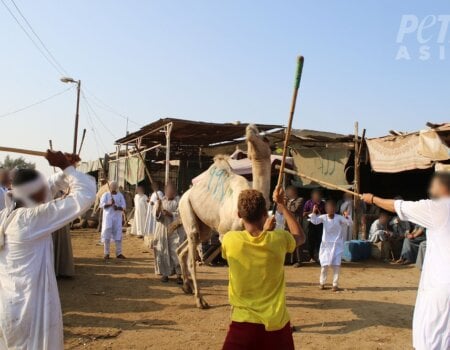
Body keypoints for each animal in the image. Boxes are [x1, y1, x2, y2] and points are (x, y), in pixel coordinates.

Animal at [178, 123, 272, 308]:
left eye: (265, 138)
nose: (250, 128)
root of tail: (185, 194)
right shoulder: (225, 233)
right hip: (185, 208)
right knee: (192, 249)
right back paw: (200, 300)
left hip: (204, 227)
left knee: (184, 248)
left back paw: (187, 287)